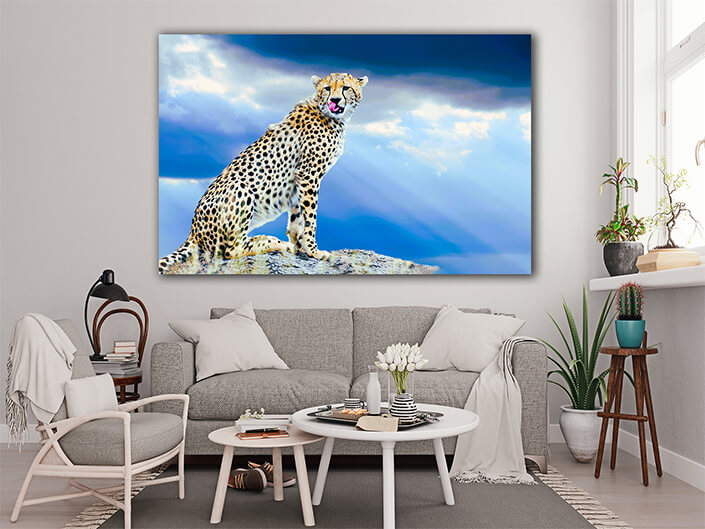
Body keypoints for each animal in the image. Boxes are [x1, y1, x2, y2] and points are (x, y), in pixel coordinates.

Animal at [158, 72, 369, 273]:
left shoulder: (300, 180)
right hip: (240, 189)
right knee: (230, 251)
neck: (330, 115)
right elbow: (310, 218)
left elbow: (297, 218)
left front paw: (300, 247)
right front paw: (313, 250)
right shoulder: (309, 174)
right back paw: (271, 242)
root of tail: (192, 231)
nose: (335, 100)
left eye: (346, 88)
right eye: (327, 88)